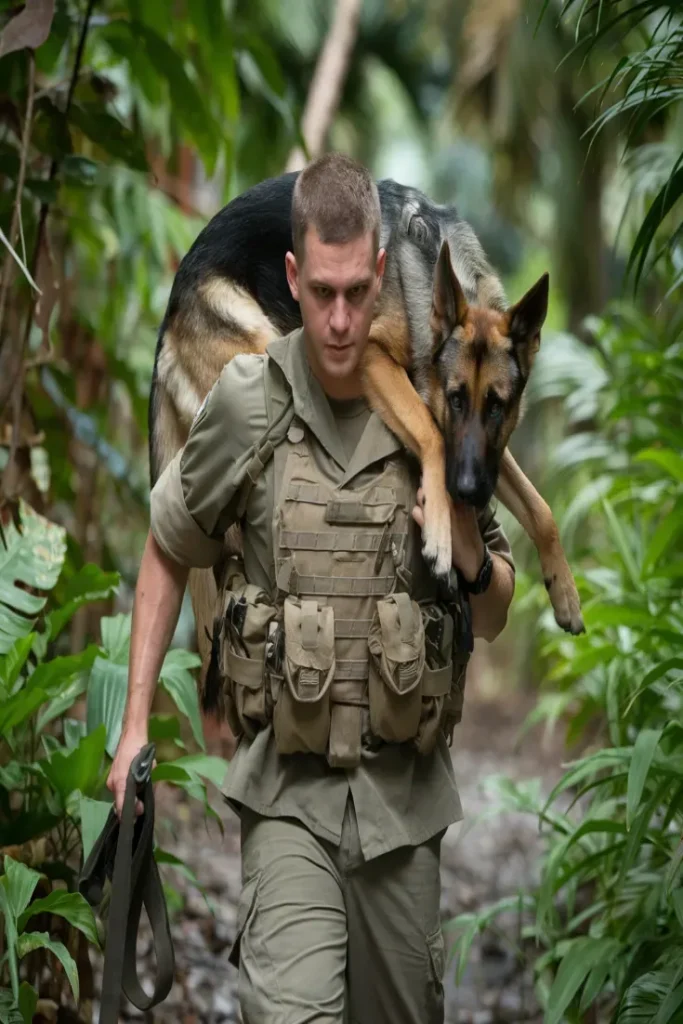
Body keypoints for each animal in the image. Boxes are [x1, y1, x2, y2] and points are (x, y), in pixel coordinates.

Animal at [152, 174, 585, 671]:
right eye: (455, 399)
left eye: (497, 407)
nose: (469, 492)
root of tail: (169, 311)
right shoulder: (374, 359)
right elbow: (431, 434)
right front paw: (440, 531)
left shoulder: (487, 454)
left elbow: (540, 509)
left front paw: (565, 592)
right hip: (262, 358)